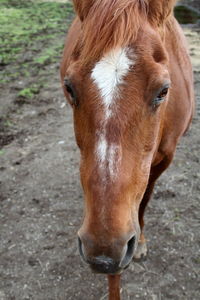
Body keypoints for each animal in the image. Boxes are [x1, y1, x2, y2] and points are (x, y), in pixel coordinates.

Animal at [60, 1, 194, 298]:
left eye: (163, 91)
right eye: (70, 88)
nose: (102, 252)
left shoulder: (164, 159)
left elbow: (143, 199)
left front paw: (140, 242)